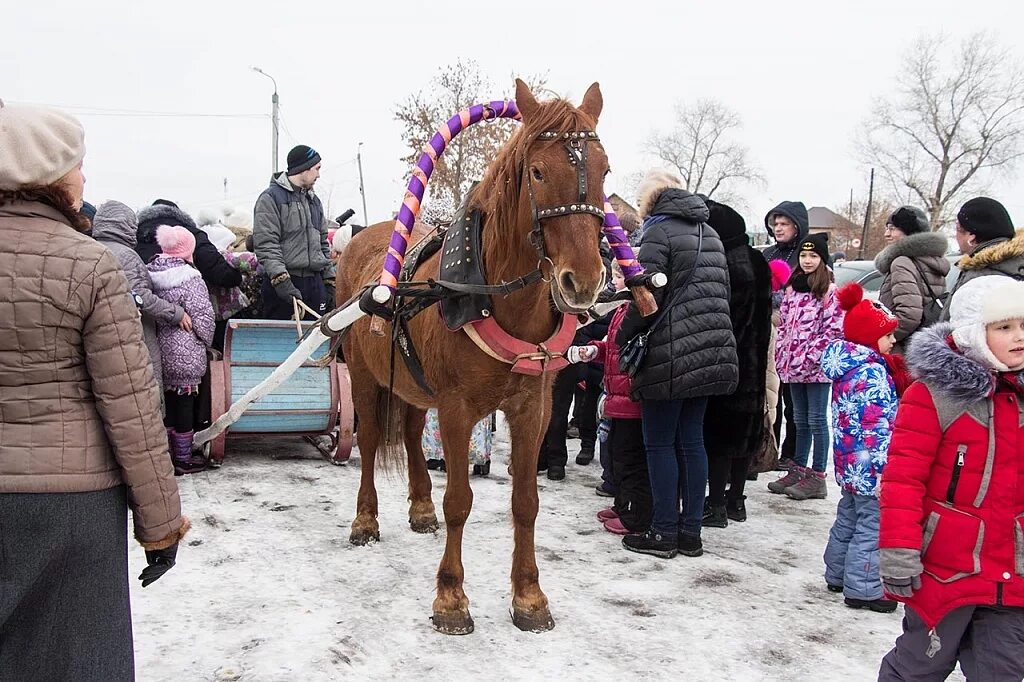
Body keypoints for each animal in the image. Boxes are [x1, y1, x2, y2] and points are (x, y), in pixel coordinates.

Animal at [333, 80, 606, 630]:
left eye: (605, 168)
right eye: (539, 172)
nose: (584, 282)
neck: (490, 294)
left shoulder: (533, 408)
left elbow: (526, 502)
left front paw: (529, 596)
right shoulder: (457, 409)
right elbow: (459, 500)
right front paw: (451, 596)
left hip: (414, 385)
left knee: (412, 433)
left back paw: (420, 507)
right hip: (365, 375)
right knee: (370, 441)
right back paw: (366, 518)